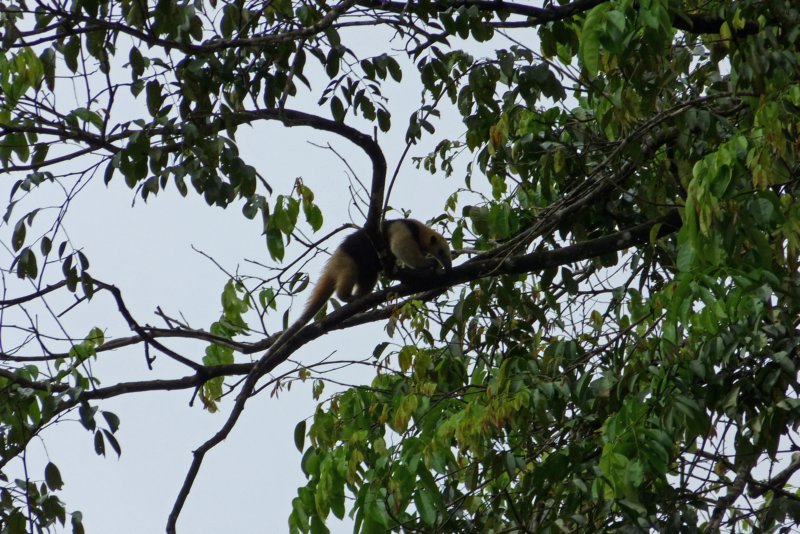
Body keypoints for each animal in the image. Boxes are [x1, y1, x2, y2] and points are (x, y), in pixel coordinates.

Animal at [268, 219, 451, 354]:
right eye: (441, 252)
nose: (448, 267)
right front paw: (429, 263)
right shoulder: (401, 229)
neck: (418, 229)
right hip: (348, 260)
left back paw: (360, 298)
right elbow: (402, 247)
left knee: (368, 280)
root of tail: (333, 262)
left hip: (365, 269)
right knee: (349, 273)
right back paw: (347, 296)